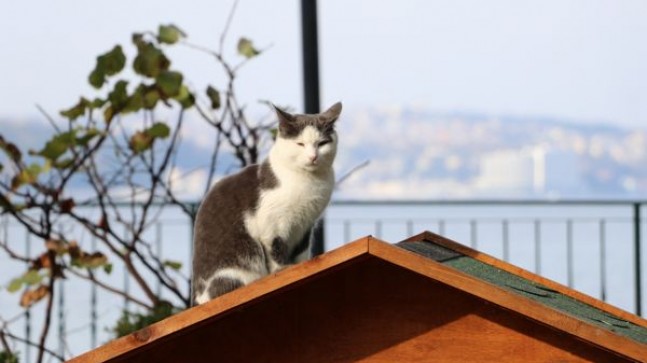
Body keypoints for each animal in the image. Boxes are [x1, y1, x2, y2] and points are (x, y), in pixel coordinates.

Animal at [192, 101, 344, 304]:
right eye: (300, 143)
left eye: (322, 143)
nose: (313, 157)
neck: (310, 181)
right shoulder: (271, 223)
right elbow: (275, 250)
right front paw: (283, 270)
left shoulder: (306, 224)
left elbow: (301, 251)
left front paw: (302, 267)